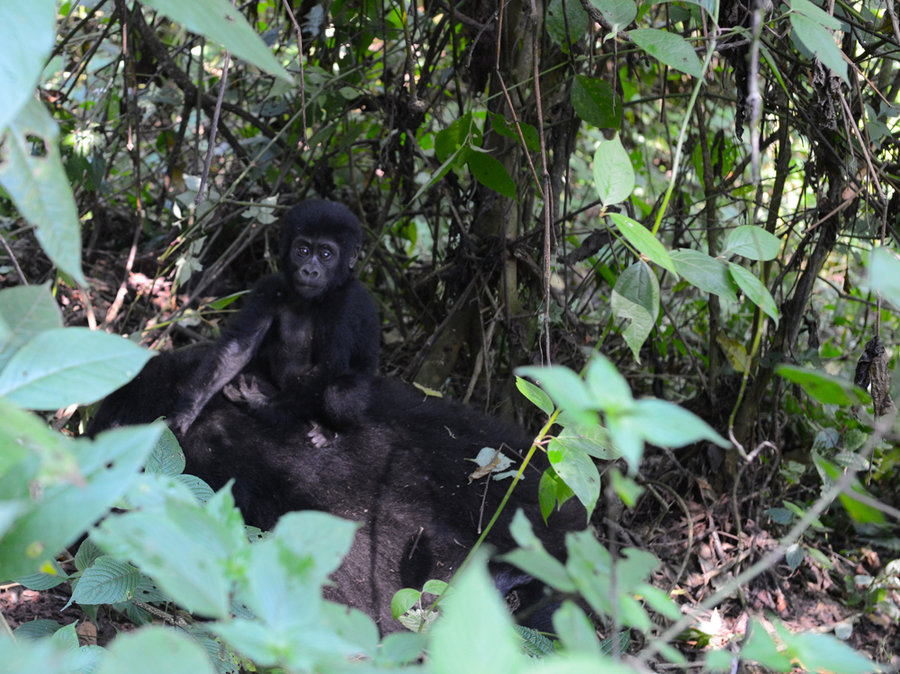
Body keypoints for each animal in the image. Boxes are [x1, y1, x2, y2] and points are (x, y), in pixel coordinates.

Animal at [171, 197, 378, 434]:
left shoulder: (345, 302)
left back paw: (327, 432)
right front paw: (187, 411)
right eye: (303, 250)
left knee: (339, 395)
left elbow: (329, 366)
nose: (310, 271)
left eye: (326, 254)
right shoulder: (269, 289)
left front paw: (258, 404)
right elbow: (237, 349)